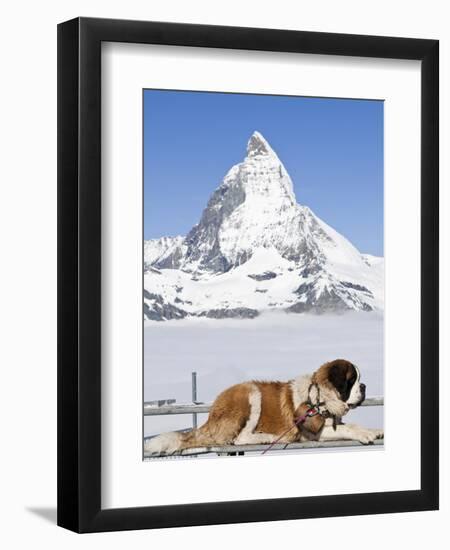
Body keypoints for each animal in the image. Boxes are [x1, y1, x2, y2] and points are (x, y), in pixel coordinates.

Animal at [146, 360, 384, 454]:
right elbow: (349, 426)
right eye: (352, 380)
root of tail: (212, 412)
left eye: (359, 380)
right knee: (239, 438)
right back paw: (266, 436)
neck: (320, 398)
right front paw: (365, 433)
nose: (364, 386)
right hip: (250, 393)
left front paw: (375, 430)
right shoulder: (310, 432)